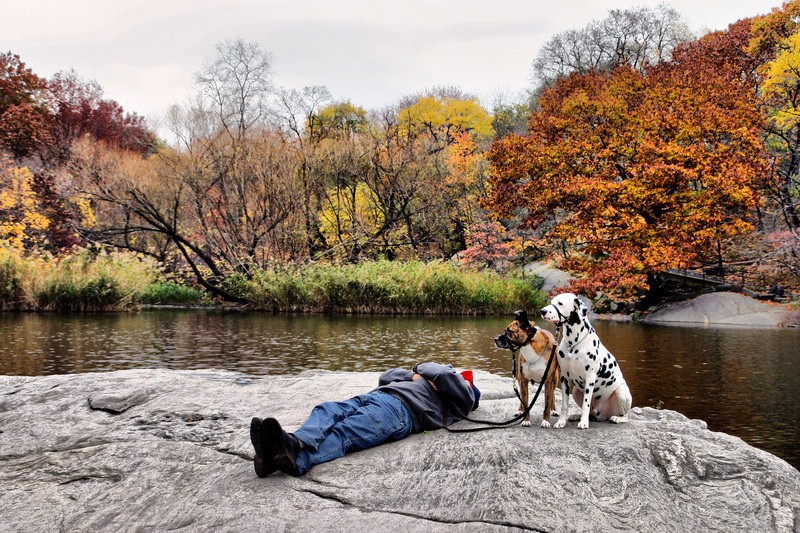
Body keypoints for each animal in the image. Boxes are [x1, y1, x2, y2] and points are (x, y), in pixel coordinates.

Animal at [540, 290, 636, 428]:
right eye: (552, 302)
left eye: (560, 303)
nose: (542, 311)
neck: (573, 343)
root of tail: (601, 415)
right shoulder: (564, 378)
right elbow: (564, 405)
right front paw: (561, 422)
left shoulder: (590, 378)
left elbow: (586, 404)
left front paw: (584, 423)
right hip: (576, 391)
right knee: (590, 412)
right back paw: (577, 416)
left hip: (622, 393)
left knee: (626, 415)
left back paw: (617, 418)